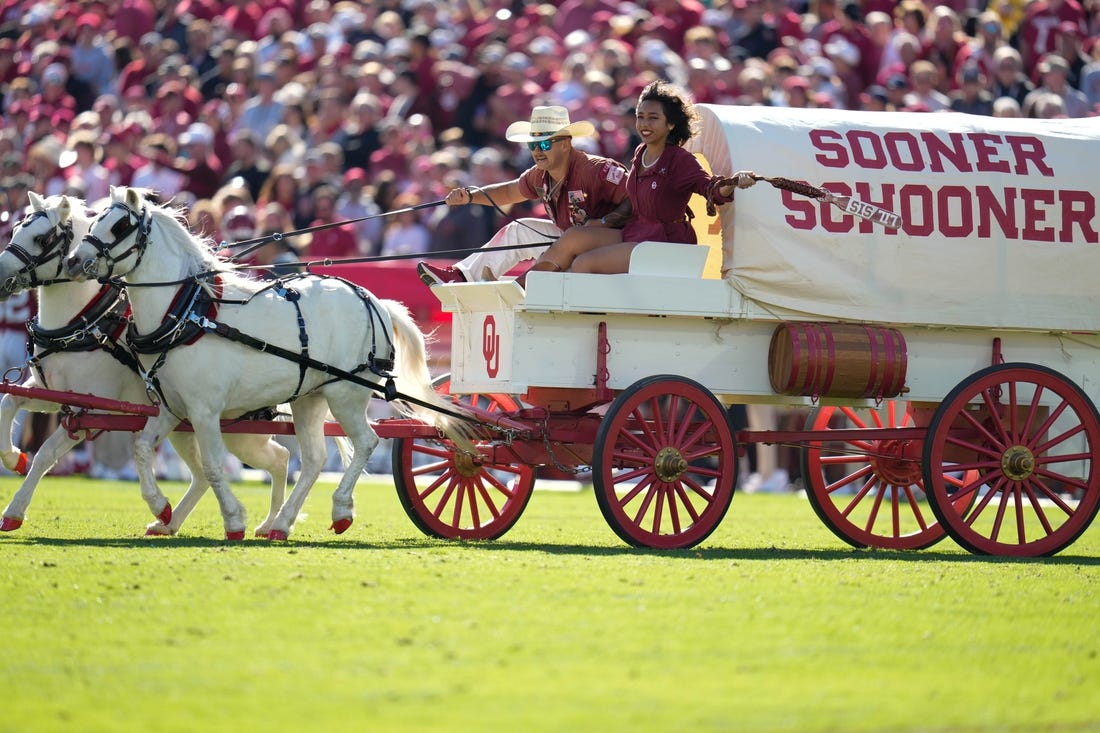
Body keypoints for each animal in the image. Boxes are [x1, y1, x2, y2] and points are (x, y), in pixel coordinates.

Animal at [0, 192, 292, 537]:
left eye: (42, 238)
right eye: (15, 228)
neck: (86, 322)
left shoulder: (92, 411)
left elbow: (46, 453)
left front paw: (15, 503)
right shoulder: (55, 394)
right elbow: (10, 402)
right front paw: (13, 466)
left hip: (236, 429)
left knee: (279, 458)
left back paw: (269, 522)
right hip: (190, 423)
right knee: (209, 473)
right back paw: (172, 521)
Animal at [64, 188, 468, 539]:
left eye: (119, 226)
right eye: (95, 219)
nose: (72, 261)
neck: (188, 312)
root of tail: (374, 300)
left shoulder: (205, 411)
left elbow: (212, 465)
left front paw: (233, 519)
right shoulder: (172, 408)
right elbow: (142, 447)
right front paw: (161, 509)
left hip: (347, 393)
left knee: (367, 442)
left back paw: (340, 510)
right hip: (309, 398)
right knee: (314, 460)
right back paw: (281, 523)